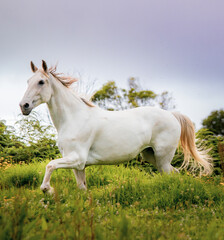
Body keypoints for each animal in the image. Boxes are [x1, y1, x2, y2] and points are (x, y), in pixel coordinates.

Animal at [19, 61, 212, 194]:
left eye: (41, 82)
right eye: (28, 81)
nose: (24, 106)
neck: (74, 118)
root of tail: (172, 115)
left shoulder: (77, 159)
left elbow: (50, 165)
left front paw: (48, 190)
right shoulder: (78, 165)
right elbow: (82, 188)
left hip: (162, 158)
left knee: (172, 174)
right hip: (152, 156)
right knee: (175, 173)